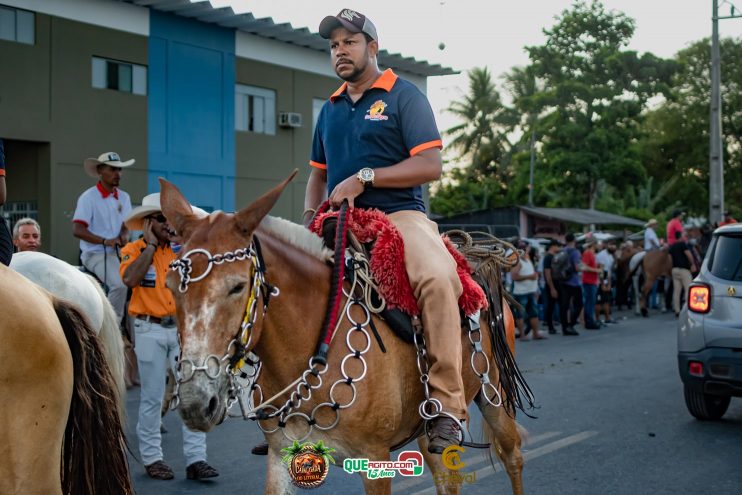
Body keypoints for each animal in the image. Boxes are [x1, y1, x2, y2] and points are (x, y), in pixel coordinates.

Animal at [160, 175, 528, 495]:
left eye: (237, 286)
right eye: (171, 288)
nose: (196, 403)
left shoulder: (374, 459)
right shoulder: (281, 455)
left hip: (494, 394)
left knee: (512, 456)